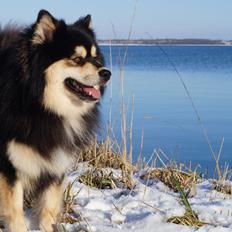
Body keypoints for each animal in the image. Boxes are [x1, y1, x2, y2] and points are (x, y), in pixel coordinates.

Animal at [0, 9, 110, 232]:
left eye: (96, 58)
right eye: (77, 59)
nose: (107, 73)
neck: (41, 107)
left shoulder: (55, 164)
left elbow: (47, 211)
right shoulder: (9, 167)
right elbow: (15, 213)